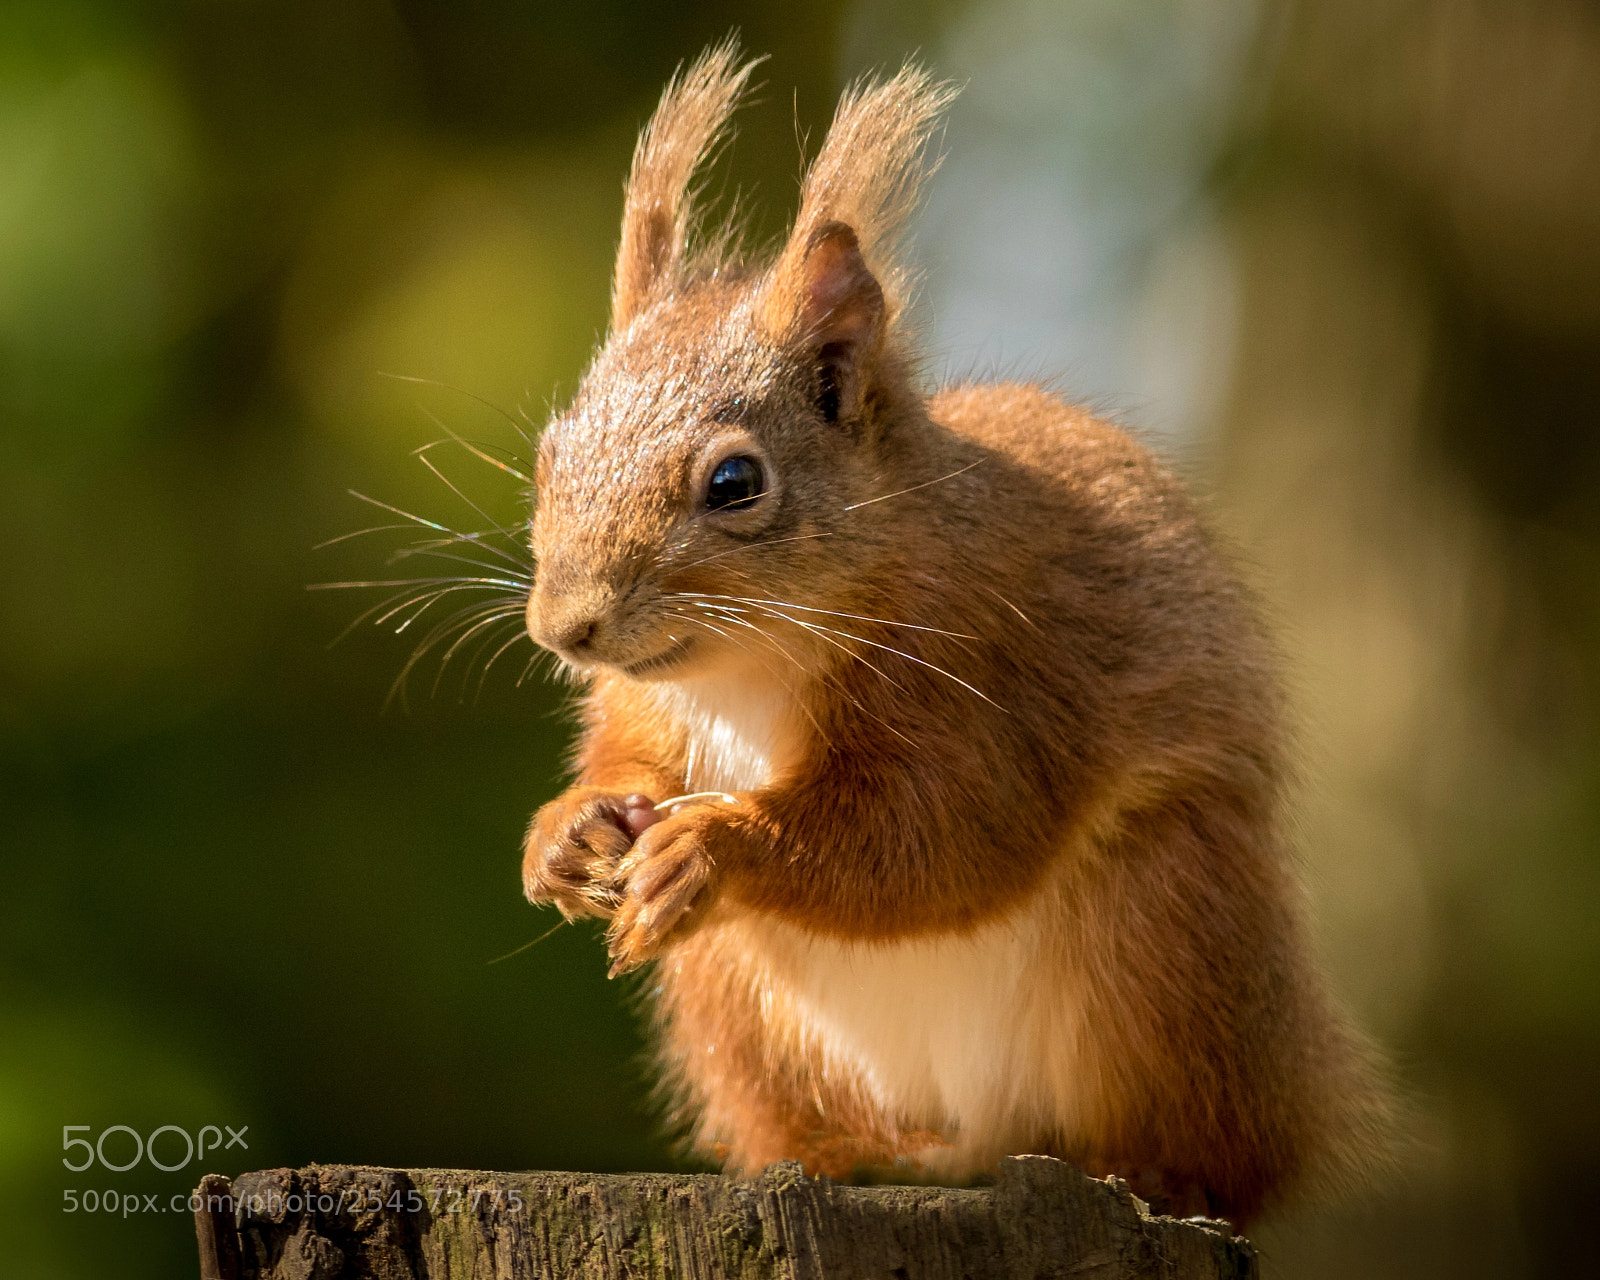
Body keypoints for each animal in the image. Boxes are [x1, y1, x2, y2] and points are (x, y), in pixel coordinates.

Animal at [517, 42, 1390, 1226]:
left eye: (736, 482)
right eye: (549, 455)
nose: (567, 627)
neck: (747, 665)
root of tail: (983, 1140)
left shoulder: (990, 668)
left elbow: (938, 834)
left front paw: (718, 844)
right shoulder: (645, 702)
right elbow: (626, 757)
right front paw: (566, 833)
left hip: (1165, 925)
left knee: (1211, 1146)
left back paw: (1149, 1173)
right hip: (731, 1010)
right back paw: (862, 1158)